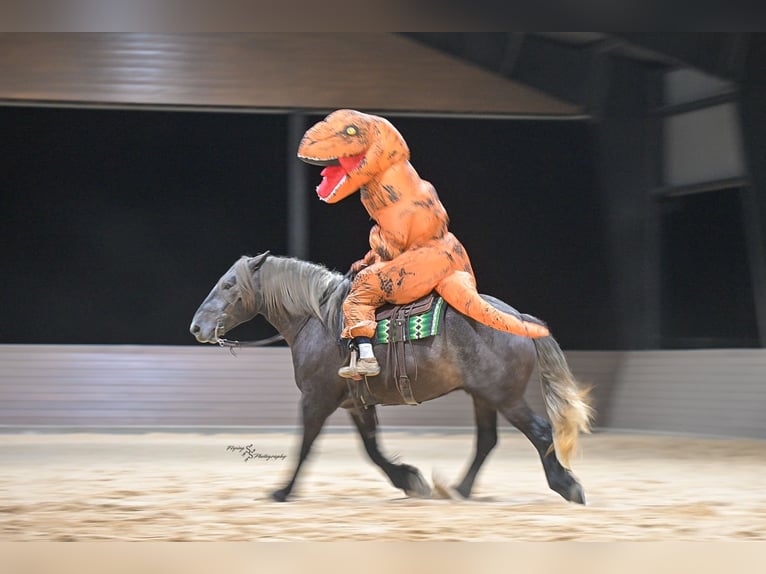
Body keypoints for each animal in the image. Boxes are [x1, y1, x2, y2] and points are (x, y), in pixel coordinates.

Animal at [190, 251, 593, 503]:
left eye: (229, 285)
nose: (197, 327)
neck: (318, 320)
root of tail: (521, 319)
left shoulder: (316, 399)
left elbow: (305, 445)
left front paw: (283, 492)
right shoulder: (355, 403)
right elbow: (372, 449)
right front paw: (409, 479)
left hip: (505, 397)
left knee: (540, 433)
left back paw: (567, 486)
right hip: (484, 396)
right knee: (487, 442)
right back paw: (459, 489)